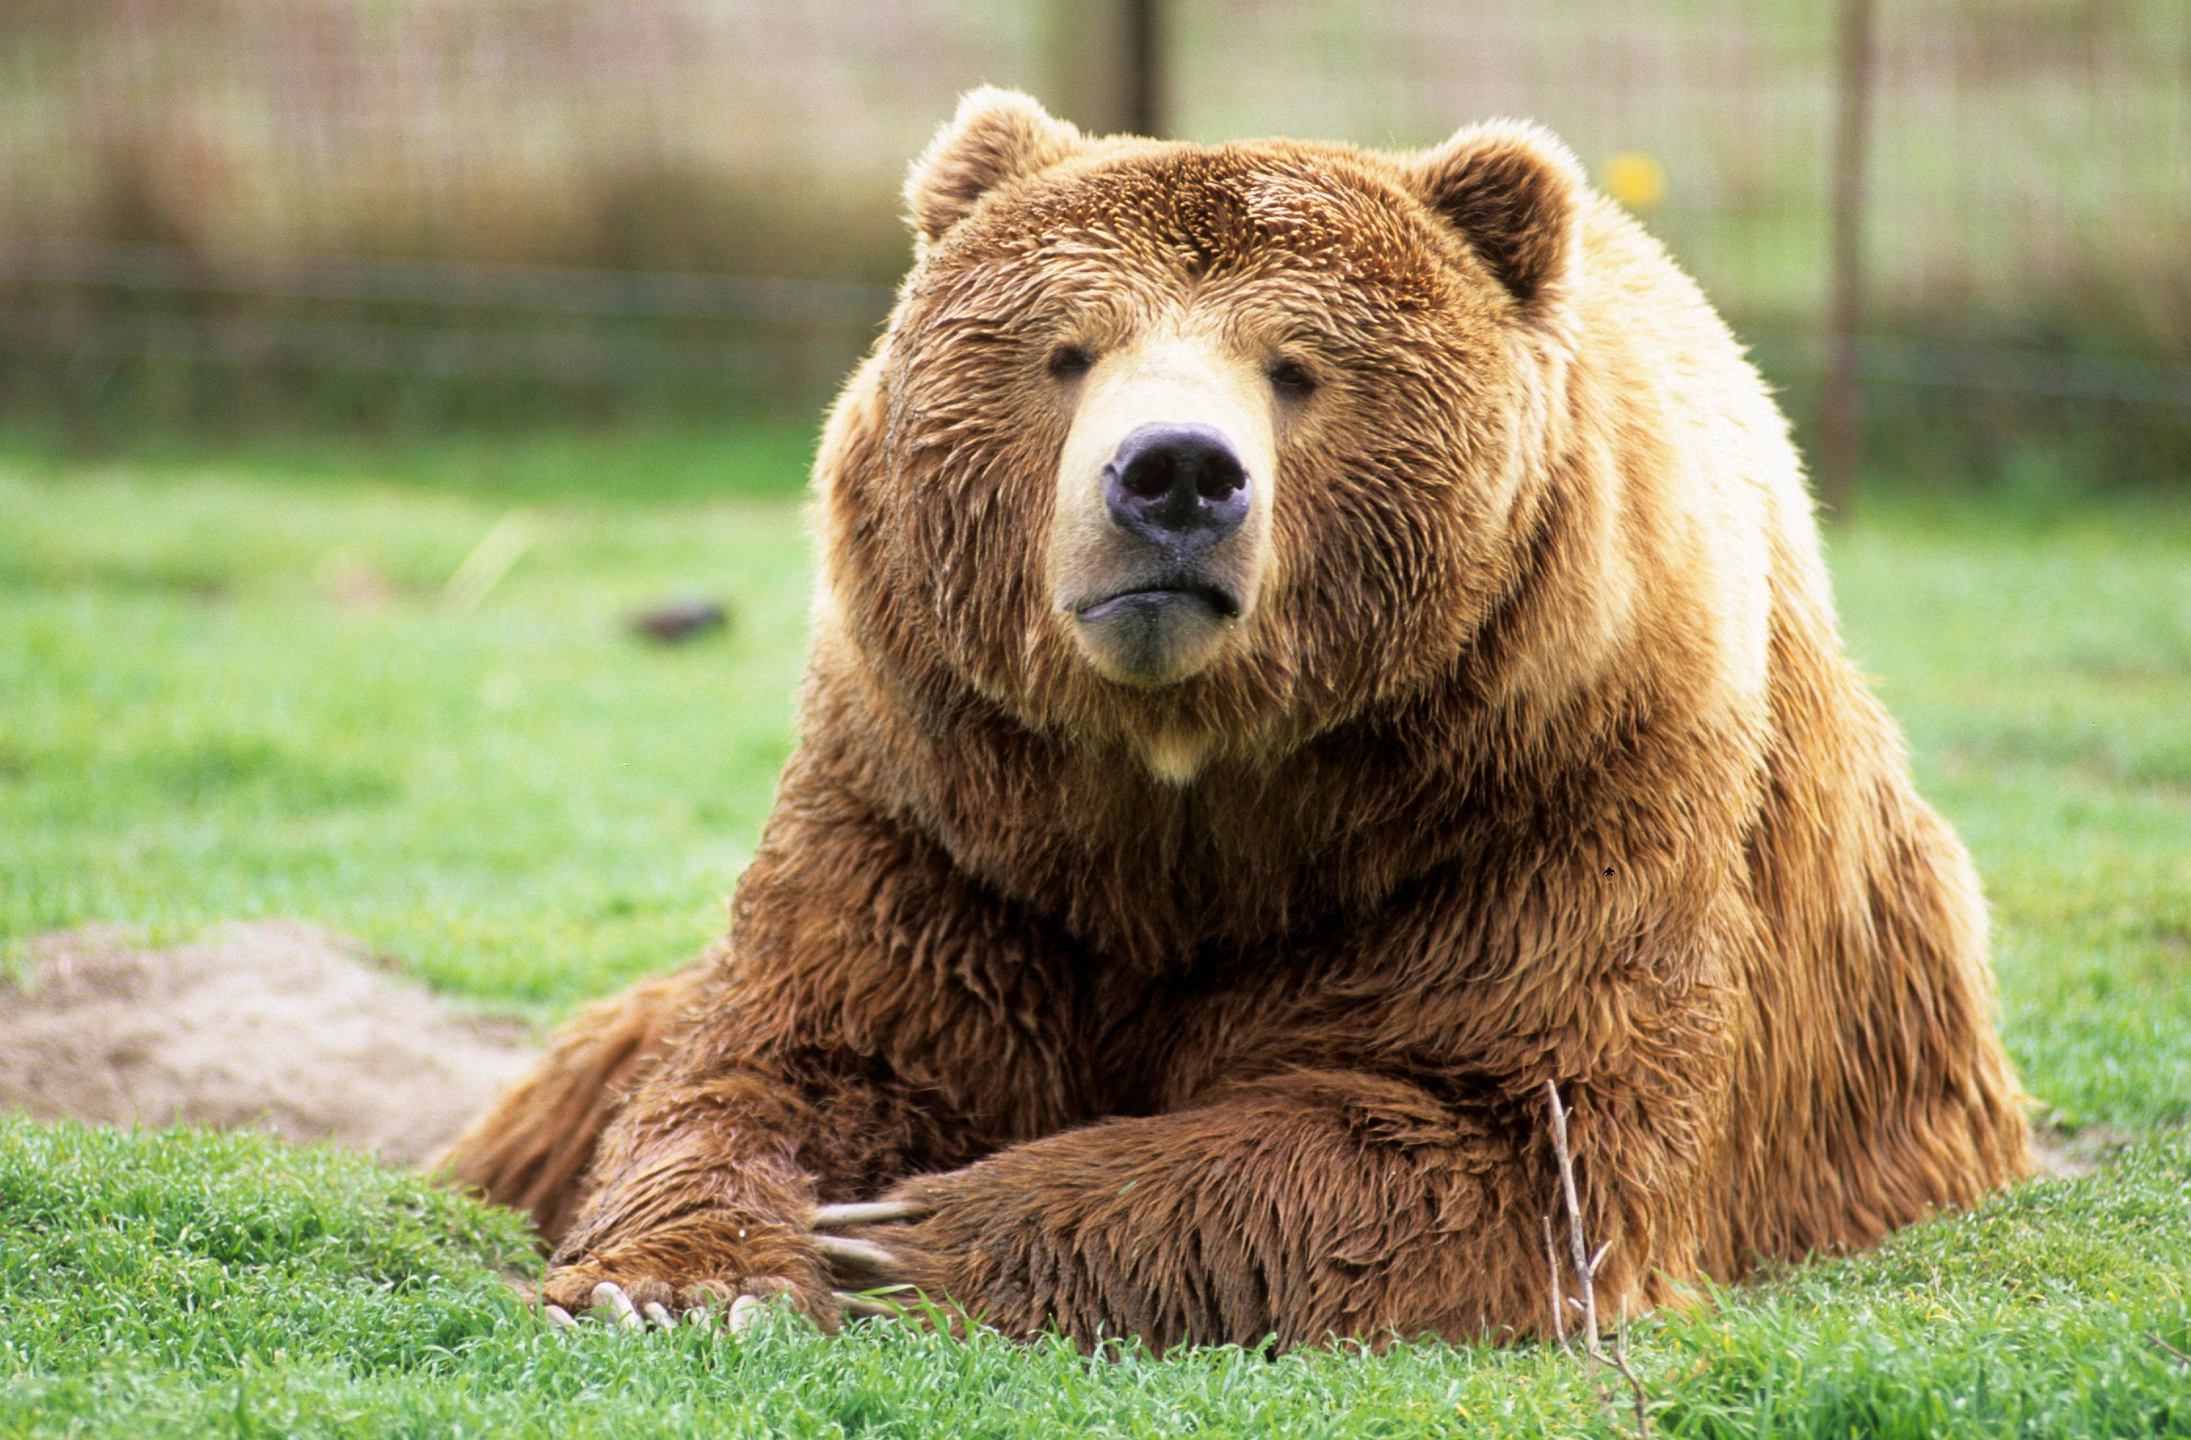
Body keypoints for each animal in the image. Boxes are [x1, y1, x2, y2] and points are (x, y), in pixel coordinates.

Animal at [436, 87, 2024, 1350]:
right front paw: (680, 1278)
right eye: (1067, 349)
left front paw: (907, 1234)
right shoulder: (942, 809)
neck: (1193, 788)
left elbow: (1498, 1128)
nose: (1175, 475)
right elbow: (793, 1061)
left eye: (1297, 366)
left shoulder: (1548, 801)